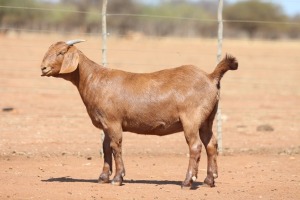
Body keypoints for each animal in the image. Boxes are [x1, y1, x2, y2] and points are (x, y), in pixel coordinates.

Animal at [39, 39, 238, 188]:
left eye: (61, 52)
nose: (43, 68)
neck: (94, 79)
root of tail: (210, 77)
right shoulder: (105, 123)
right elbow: (106, 147)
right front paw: (103, 177)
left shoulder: (113, 121)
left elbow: (116, 146)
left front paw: (118, 178)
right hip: (207, 119)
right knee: (211, 144)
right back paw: (209, 180)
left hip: (191, 118)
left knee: (195, 146)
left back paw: (187, 182)